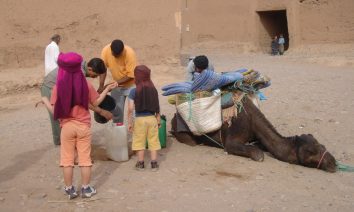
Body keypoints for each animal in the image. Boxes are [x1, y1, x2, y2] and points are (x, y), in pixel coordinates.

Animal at [171, 95, 338, 172]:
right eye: (311, 151)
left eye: (323, 146)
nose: (333, 163)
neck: (253, 121)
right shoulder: (232, 139)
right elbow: (258, 154)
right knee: (191, 141)